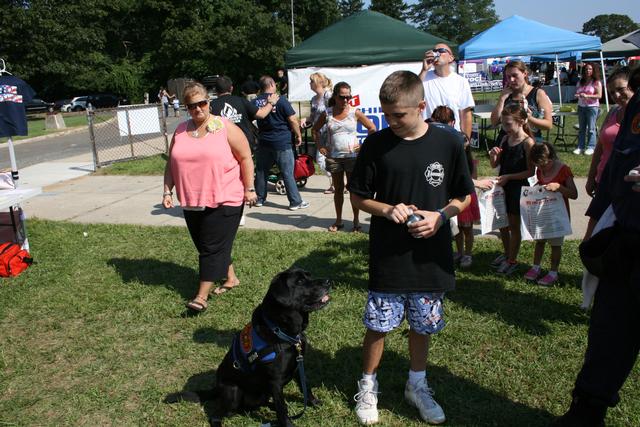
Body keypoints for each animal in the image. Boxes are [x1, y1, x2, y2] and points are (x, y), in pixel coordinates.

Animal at [166, 270, 330, 427]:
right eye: (300, 281)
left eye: (309, 275)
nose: (328, 281)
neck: (280, 330)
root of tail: (216, 388)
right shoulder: (275, 382)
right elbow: (282, 409)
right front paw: (288, 423)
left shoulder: (297, 366)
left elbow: (306, 388)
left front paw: (315, 403)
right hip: (234, 392)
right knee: (216, 415)